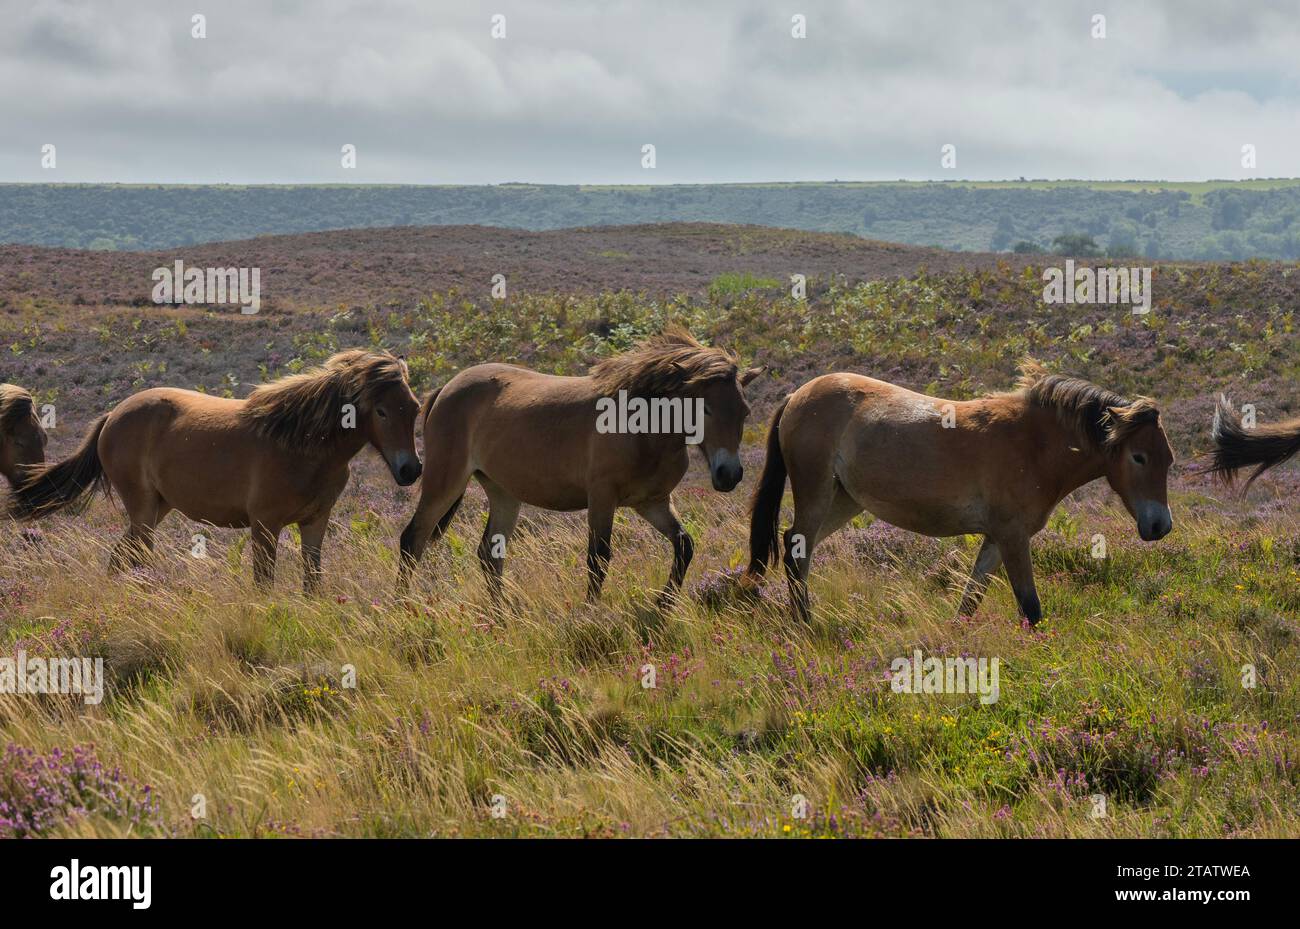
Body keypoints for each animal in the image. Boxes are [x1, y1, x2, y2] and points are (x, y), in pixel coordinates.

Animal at [6, 353, 421, 592]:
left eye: (415, 407)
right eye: (381, 411)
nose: (411, 469)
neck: (301, 445)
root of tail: (113, 416)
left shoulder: (315, 523)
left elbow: (312, 581)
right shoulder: (264, 524)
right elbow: (263, 584)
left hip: (158, 508)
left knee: (123, 557)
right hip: (143, 510)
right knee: (133, 555)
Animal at [743, 361, 1180, 626]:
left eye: (1169, 458)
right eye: (1139, 457)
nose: (1160, 526)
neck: (1034, 444)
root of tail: (796, 396)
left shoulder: (996, 539)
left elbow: (971, 598)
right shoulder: (1013, 537)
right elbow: (1030, 606)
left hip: (845, 499)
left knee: (800, 548)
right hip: (816, 491)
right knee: (796, 546)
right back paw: (805, 622)